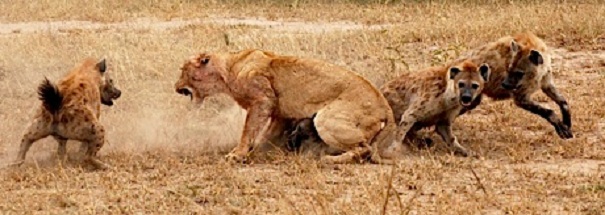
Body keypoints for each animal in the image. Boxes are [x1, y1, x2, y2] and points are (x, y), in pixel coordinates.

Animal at [175, 48, 398, 163]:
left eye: (183, 70)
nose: (176, 87)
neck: (228, 69)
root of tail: (385, 106)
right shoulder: (278, 113)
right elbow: (266, 135)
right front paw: (259, 150)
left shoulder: (262, 100)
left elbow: (248, 130)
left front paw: (237, 154)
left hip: (327, 118)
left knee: (365, 148)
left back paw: (331, 160)